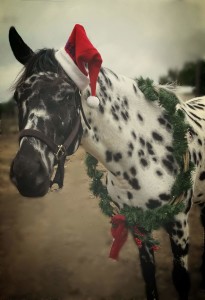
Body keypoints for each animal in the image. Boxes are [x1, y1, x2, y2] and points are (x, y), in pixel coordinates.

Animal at [8, 25, 205, 300]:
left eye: (66, 95)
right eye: (18, 96)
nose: (26, 174)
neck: (145, 150)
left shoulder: (178, 224)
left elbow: (181, 281)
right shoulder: (138, 223)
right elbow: (148, 276)